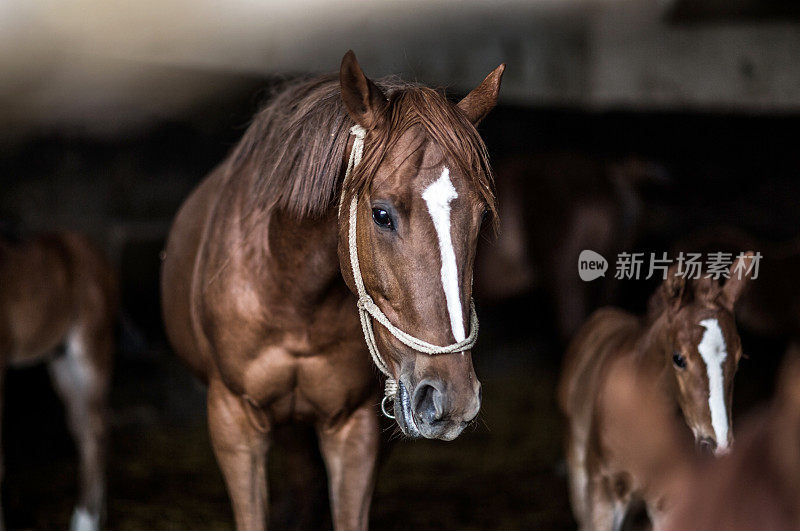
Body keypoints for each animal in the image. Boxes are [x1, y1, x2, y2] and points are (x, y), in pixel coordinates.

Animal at [159, 51, 504, 531]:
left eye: (481, 216)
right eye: (381, 214)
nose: (452, 397)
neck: (293, 297)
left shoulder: (354, 427)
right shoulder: (233, 420)